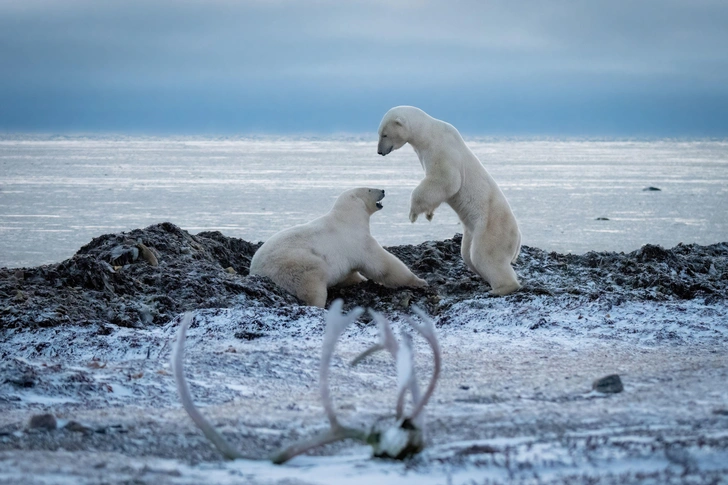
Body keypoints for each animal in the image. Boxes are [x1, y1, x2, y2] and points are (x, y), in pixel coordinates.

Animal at [250, 186, 426, 306]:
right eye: (369, 189)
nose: (383, 189)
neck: (348, 217)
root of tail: (255, 271)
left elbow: (349, 273)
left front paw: (360, 280)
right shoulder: (358, 241)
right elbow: (384, 265)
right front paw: (420, 281)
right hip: (296, 264)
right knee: (313, 282)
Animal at [378, 106, 520, 294]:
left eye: (384, 135)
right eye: (380, 133)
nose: (379, 151)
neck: (428, 132)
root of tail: (518, 239)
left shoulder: (441, 149)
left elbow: (447, 180)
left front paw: (413, 213)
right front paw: (429, 214)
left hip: (492, 226)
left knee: (485, 255)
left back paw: (501, 288)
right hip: (472, 230)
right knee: (467, 255)